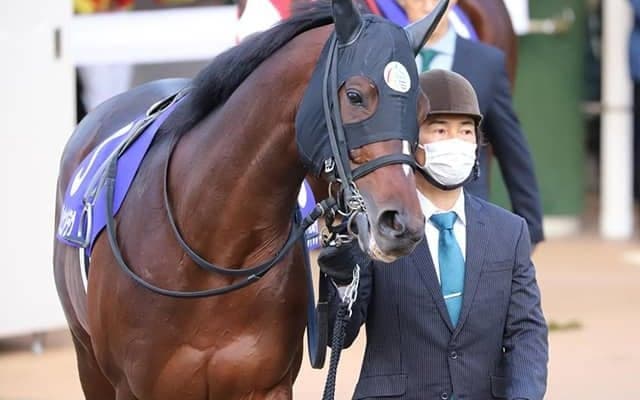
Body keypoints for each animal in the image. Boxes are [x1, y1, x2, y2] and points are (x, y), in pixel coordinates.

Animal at [53, 0, 448, 398]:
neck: (209, 256)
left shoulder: (265, 385)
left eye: (421, 109)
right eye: (355, 95)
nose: (401, 224)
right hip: (88, 362)